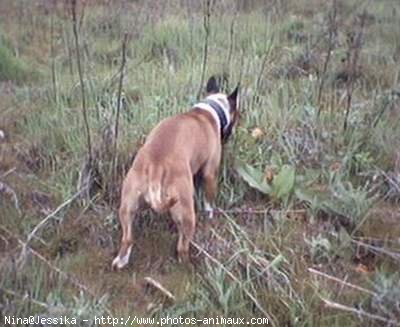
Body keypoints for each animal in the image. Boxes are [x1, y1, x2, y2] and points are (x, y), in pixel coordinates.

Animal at [111, 77, 239, 270]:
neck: (209, 111)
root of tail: (156, 166)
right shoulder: (210, 173)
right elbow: (209, 202)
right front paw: (210, 215)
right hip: (186, 213)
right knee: (182, 247)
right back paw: (187, 266)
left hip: (127, 206)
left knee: (127, 238)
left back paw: (122, 260)